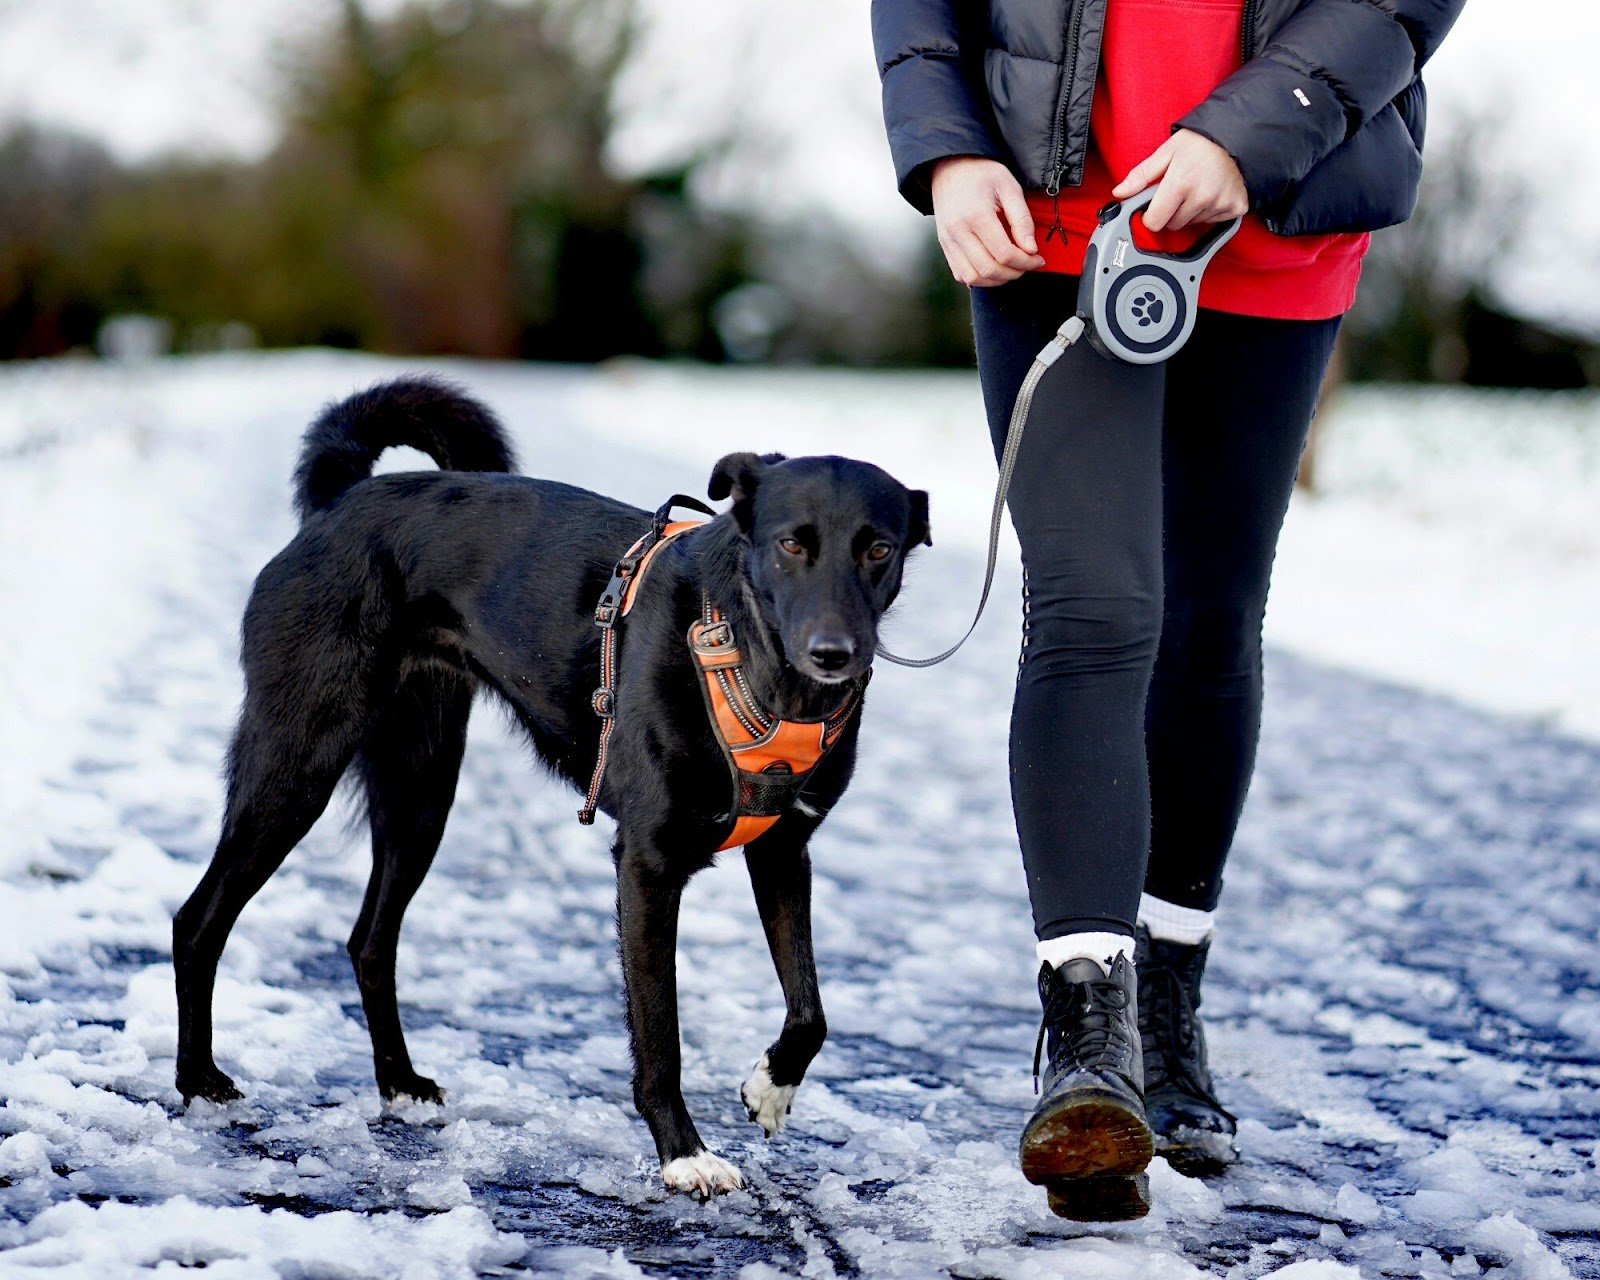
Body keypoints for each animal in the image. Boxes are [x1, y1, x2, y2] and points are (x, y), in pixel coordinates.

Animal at [173, 374, 934, 1196]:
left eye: (880, 549)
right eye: (792, 543)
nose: (834, 652)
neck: (751, 661)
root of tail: (343, 500)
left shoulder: (784, 850)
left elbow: (811, 1010)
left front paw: (772, 1085)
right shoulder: (647, 866)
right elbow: (660, 1038)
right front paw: (684, 1154)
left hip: (420, 793)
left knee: (369, 941)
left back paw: (399, 1084)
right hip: (296, 765)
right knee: (198, 920)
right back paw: (199, 1082)